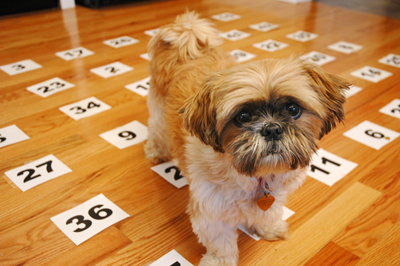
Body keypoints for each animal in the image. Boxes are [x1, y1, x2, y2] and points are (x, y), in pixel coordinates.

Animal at [145, 11, 350, 264]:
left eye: (293, 109)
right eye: (242, 117)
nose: (272, 129)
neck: (256, 176)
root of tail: (184, 34)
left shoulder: (274, 194)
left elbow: (269, 212)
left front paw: (268, 228)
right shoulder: (211, 211)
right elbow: (221, 243)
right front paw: (220, 261)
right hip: (158, 108)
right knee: (156, 129)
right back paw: (157, 152)